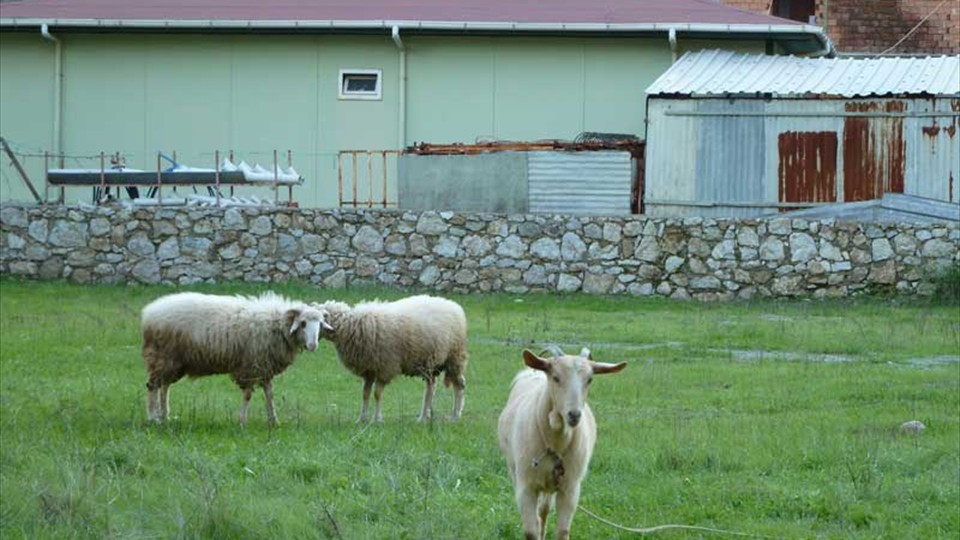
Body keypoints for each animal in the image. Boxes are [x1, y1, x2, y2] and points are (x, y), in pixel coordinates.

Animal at [141, 291, 332, 427]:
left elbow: (269, 393)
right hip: (161, 356)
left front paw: (274, 420)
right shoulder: (250, 366)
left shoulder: (264, 366)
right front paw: (242, 421)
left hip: (174, 361)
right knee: (153, 386)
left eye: (320, 324)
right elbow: (247, 395)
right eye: (303, 323)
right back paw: (153, 418)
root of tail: (149, 313)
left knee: (164, 386)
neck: (276, 325)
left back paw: (164, 416)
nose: (313, 345)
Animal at [313, 295, 469, 423]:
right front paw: (362, 419)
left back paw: (455, 416)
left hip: (454, 357)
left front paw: (377, 419)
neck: (352, 326)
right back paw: (423, 417)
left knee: (459, 385)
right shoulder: (369, 370)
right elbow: (365, 394)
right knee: (430, 388)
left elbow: (377, 394)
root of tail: (454, 305)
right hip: (430, 363)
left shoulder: (385, 368)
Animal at [498, 347, 627, 540]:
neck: (555, 442)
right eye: (556, 377)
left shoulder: (570, 489)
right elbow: (530, 531)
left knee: (543, 511)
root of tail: (534, 373)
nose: (574, 415)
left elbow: (562, 531)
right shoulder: (525, 487)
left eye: (590, 379)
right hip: (514, 470)